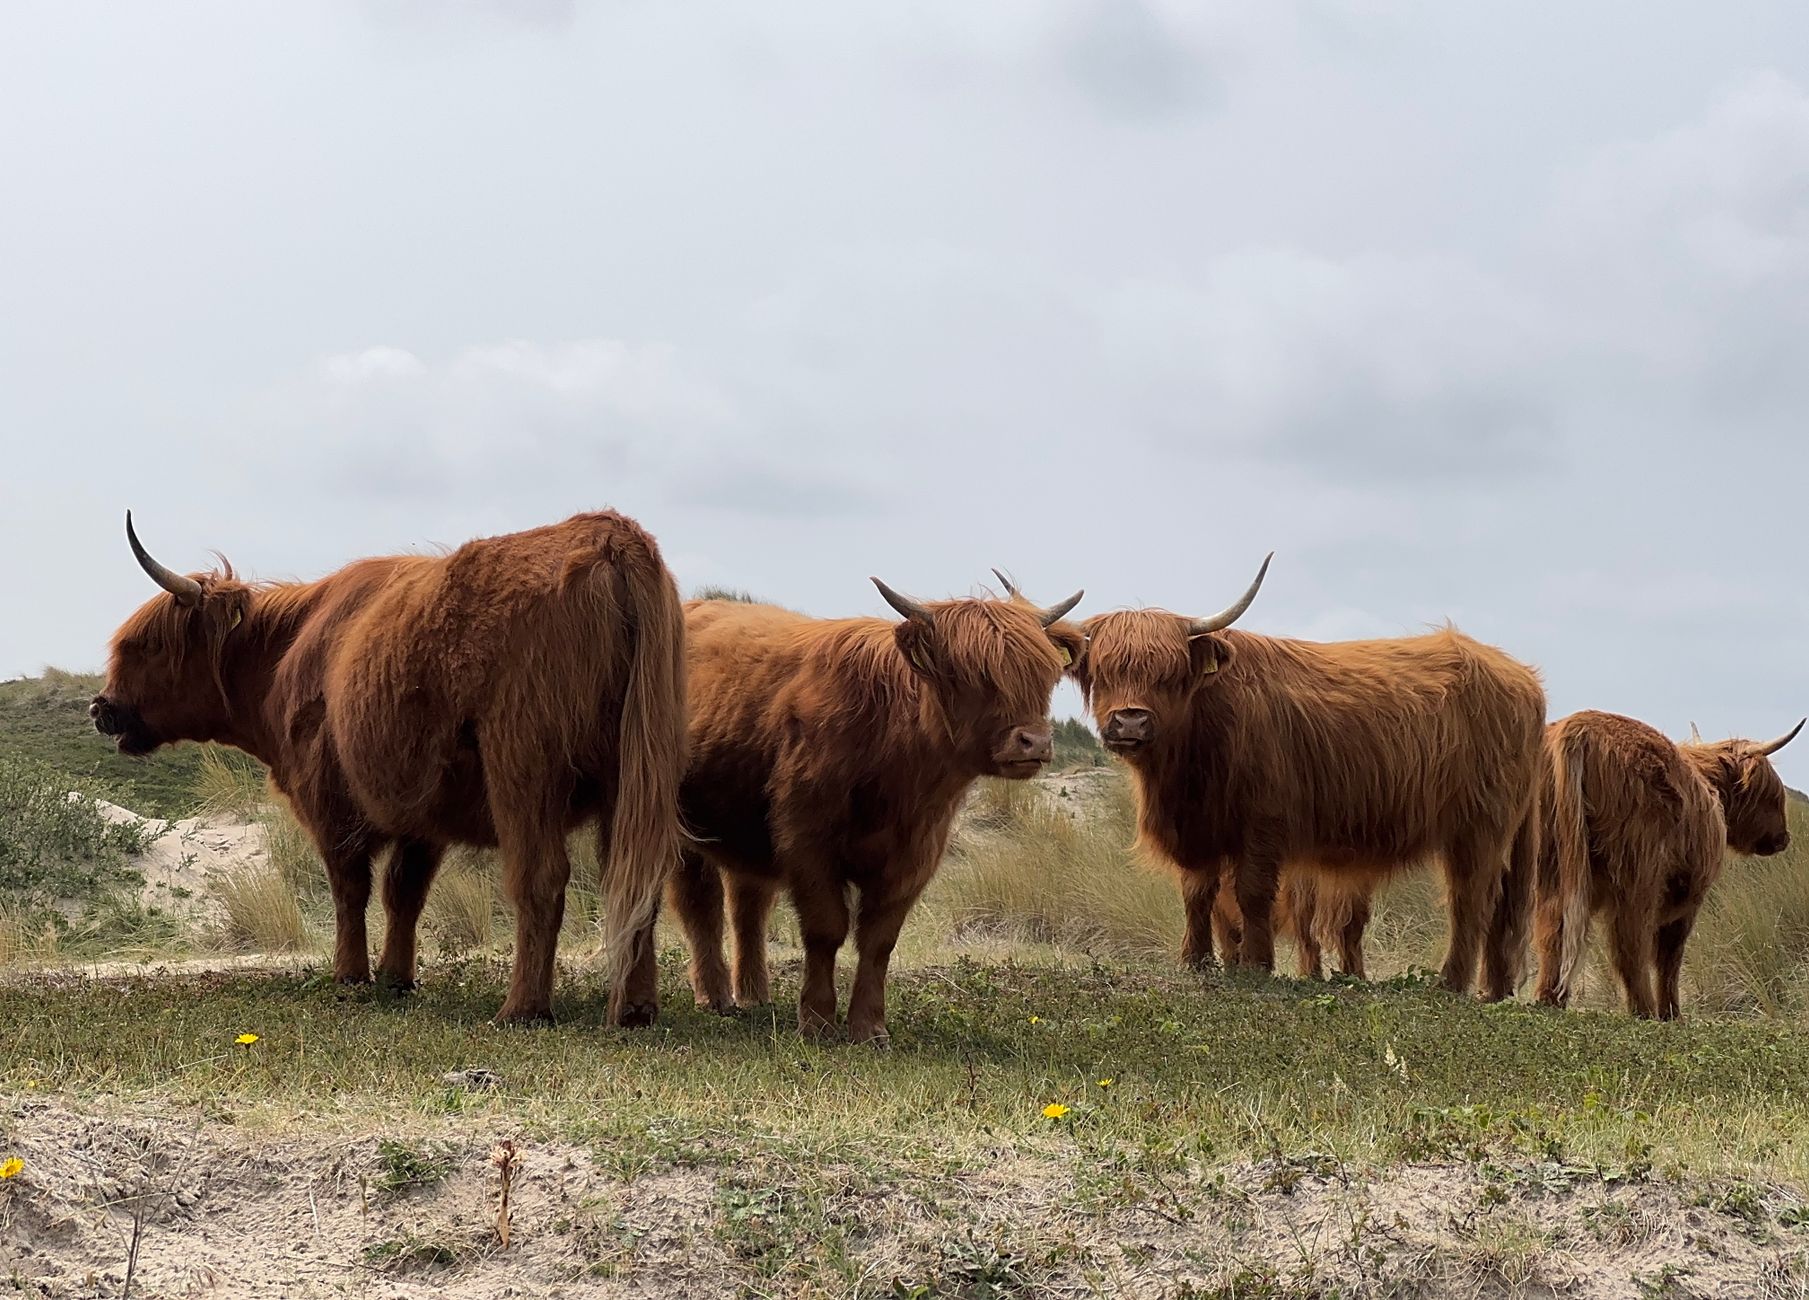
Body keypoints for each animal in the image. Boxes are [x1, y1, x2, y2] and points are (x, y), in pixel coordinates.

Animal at [90, 510, 686, 1026]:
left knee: (541, 877)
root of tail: (607, 533)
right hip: (634, 777)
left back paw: (522, 1009)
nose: (101, 707)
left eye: (146, 644)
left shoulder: (330, 799)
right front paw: (396, 977)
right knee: (635, 879)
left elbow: (349, 887)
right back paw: (636, 1009)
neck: (286, 652)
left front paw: (350, 976)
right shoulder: (421, 809)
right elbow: (404, 892)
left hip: (522, 768)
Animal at [662, 576, 1083, 1044]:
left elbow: (879, 940)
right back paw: (714, 995)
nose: (1035, 742)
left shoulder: (916, 855)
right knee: (701, 904)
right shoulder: (808, 843)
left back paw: (754, 996)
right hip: (681, 829)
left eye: (1045, 673)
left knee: (748, 904)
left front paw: (869, 1026)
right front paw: (818, 1021)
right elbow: (826, 929)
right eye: (970, 674)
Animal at [1070, 556, 1544, 999]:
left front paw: (1256, 965)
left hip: (1481, 826)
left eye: (1168, 674)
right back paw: (1494, 990)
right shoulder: (1199, 830)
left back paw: (1452, 983)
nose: (1131, 722)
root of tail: (1521, 676)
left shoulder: (1264, 823)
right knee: (1499, 905)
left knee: (1471, 900)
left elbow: (1252, 893)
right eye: (1103, 671)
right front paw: (1196, 961)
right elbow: (1197, 894)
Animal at [1533, 710, 1801, 1018]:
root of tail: (1580, 726)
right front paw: (1672, 1013)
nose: (1783, 838)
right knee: (1629, 942)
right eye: (1773, 794)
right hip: (1638, 872)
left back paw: (1549, 999)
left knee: (1552, 930)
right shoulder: (1690, 895)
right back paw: (1644, 1009)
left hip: (1553, 863)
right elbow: (1670, 955)